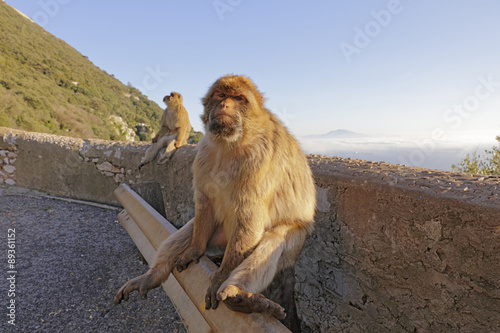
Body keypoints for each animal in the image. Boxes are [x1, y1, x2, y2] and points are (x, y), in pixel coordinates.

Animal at [115, 74, 314, 320]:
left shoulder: (259, 158)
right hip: (218, 237)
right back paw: (154, 275)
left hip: (294, 242)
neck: (230, 142)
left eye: (238, 98)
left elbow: (250, 218)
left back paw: (241, 296)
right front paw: (194, 251)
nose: (225, 105)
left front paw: (220, 278)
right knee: (189, 229)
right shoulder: (204, 153)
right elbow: (205, 202)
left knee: (275, 238)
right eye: (221, 95)